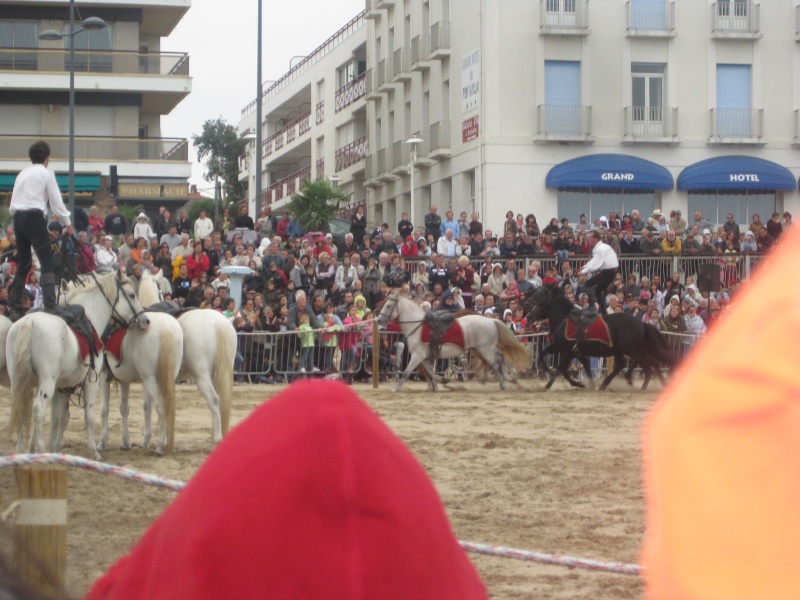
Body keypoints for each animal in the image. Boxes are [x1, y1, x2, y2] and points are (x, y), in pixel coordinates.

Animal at [7, 270, 149, 458]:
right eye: (132, 295)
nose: (145, 321)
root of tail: (28, 322)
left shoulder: (62, 387)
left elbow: (59, 417)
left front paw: (56, 448)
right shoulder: (91, 381)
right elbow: (88, 416)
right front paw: (94, 451)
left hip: (19, 381)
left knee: (20, 409)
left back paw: (22, 452)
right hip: (46, 382)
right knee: (37, 409)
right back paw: (42, 452)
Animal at [96, 270, 184, 452]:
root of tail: (165, 326)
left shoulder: (104, 376)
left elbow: (104, 409)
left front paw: (102, 442)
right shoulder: (125, 380)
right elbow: (130, 408)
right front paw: (129, 441)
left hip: (150, 379)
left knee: (161, 406)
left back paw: (160, 446)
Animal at [138, 272, 236, 446]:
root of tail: (218, 323)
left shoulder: (148, 377)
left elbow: (147, 405)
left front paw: (146, 439)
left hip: (202, 376)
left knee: (214, 400)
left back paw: (216, 439)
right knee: (221, 403)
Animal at [376, 292, 528, 394]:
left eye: (388, 305)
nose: (378, 320)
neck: (417, 326)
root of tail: (492, 321)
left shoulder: (417, 356)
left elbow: (406, 372)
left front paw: (396, 388)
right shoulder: (423, 357)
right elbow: (430, 373)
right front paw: (438, 386)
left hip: (486, 350)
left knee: (497, 363)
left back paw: (503, 383)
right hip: (480, 350)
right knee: (499, 361)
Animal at [524, 284, 676, 392]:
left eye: (541, 293)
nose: (527, 306)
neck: (565, 320)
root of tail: (641, 323)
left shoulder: (568, 351)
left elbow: (561, 368)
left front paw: (552, 385)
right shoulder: (565, 349)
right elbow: (542, 356)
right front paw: (587, 384)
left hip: (629, 348)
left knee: (640, 361)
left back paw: (630, 380)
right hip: (622, 350)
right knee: (634, 364)